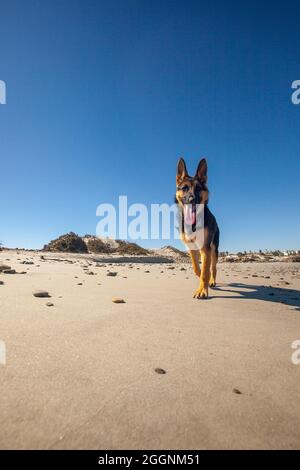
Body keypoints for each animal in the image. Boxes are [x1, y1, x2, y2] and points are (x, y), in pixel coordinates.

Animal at [176, 157, 220, 298]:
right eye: (185, 188)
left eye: (198, 188)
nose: (192, 199)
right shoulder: (191, 247)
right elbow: (197, 267)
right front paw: (200, 276)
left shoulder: (205, 247)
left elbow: (205, 270)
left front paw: (202, 289)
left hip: (214, 249)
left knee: (213, 267)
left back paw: (212, 280)